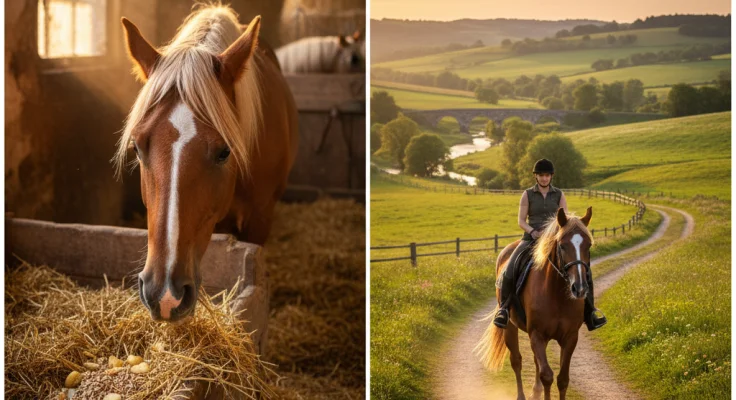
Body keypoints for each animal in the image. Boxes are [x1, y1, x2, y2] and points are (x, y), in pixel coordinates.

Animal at [476, 207, 594, 400]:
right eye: (562, 245)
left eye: (588, 245)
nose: (580, 288)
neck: (556, 295)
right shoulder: (537, 334)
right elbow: (547, 376)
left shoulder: (570, 337)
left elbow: (562, 379)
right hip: (510, 327)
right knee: (516, 361)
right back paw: (522, 395)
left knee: (535, 361)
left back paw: (535, 392)